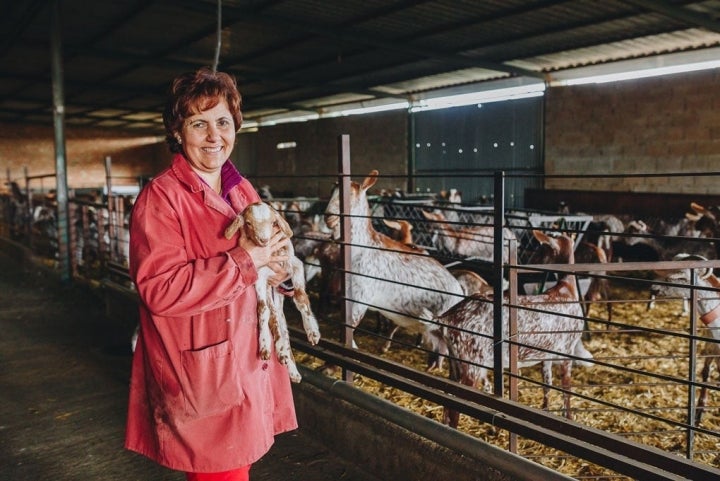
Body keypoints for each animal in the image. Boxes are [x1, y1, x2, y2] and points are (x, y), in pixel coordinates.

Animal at [225, 201, 320, 380]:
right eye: (249, 223)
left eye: (272, 222)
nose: (264, 240)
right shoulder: (260, 277)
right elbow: (262, 310)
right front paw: (264, 347)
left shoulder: (294, 264)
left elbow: (300, 297)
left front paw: (312, 331)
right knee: (274, 317)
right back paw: (282, 353)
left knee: (283, 326)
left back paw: (292, 369)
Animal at [436, 231, 592, 426]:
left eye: (542, 248)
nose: (531, 262)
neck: (566, 290)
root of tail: (446, 319)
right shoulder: (567, 348)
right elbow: (566, 390)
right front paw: (569, 418)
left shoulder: (546, 352)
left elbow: (547, 383)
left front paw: (545, 409)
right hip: (472, 361)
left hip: (454, 361)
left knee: (447, 398)